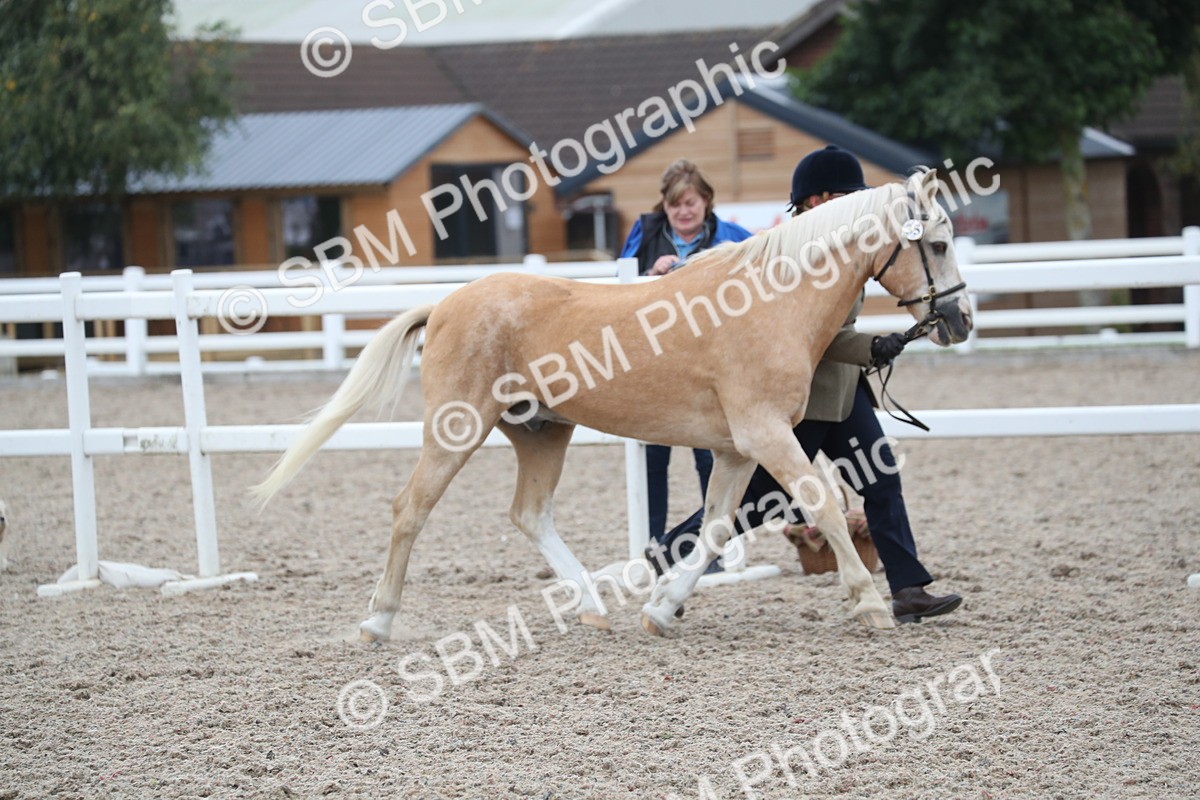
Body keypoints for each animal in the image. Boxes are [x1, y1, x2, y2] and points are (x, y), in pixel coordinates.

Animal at [253, 168, 972, 642]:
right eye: (937, 243)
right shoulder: (767, 434)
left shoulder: (737, 448)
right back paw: (378, 621)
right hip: (456, 429)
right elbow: (820, 504)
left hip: (541, 433)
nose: (959, 320)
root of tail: (447, 301)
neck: (771, 301)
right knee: (411, 509)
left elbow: (715, 528)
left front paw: (661, 609)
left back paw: (593, 604)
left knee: (529, 513)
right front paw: (869, 604)